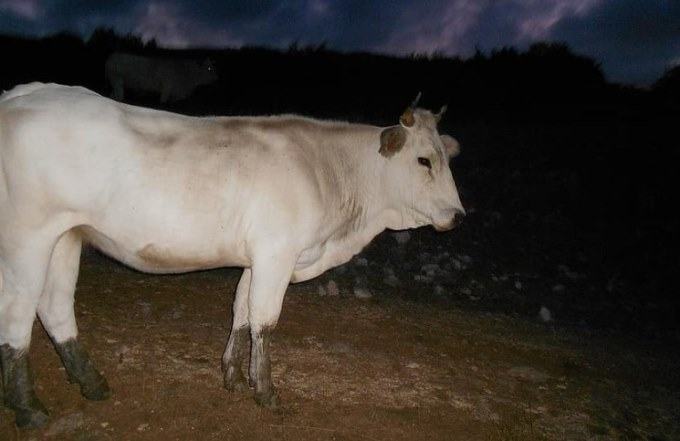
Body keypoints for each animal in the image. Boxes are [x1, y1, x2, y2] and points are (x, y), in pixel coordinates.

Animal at [0, 83, 465, 428]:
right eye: (424, 160)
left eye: (446, 159)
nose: (458, 216)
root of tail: (25, 94)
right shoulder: (277, 252)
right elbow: (264, 319)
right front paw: (266, 391)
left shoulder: (256, 259)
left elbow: (241, 311)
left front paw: (233, 377)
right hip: (28, 237)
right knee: (19, 310)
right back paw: (28, 407)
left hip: (66, 235)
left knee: (54, 305)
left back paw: (91, 383)